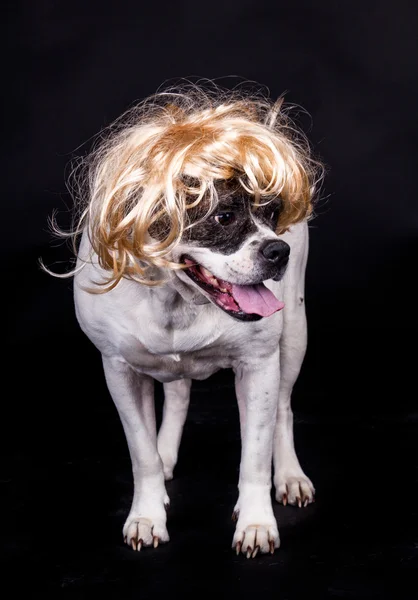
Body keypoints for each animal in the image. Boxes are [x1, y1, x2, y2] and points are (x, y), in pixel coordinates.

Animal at [59, 84, 320, 556]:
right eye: (224, 217)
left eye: (273, 214)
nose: (279, 250)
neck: (176, 297)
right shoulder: (119, 371)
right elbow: (140, 451)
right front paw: (147, 513)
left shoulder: (259, 365)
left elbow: (255, 454)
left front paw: (256, 522)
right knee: (178, 394)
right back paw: (166, 454)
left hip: (294, 337)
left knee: (283, 411)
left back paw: (290, 475)